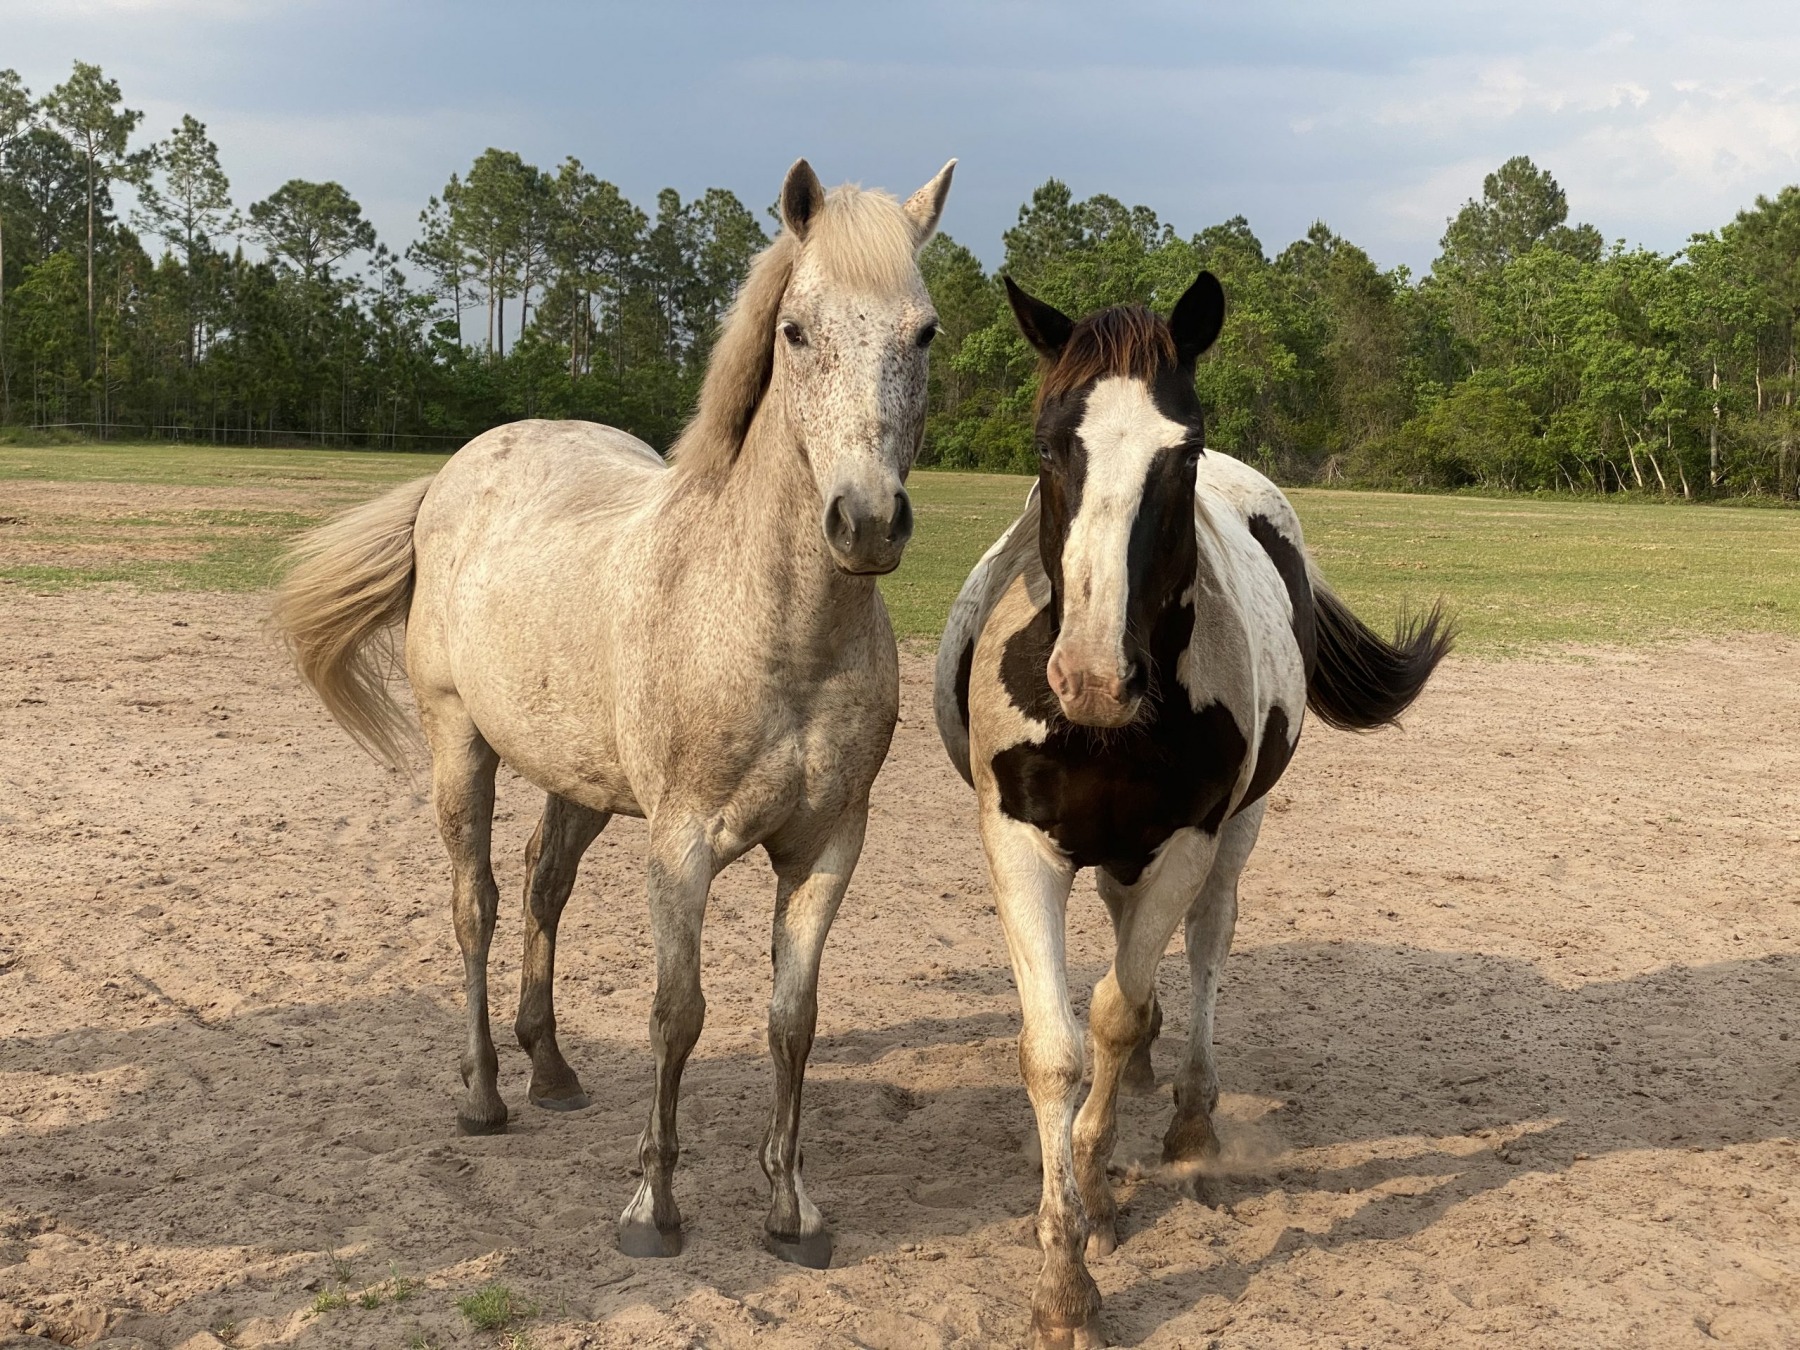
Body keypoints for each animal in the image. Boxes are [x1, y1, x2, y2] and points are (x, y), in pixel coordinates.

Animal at [273, 157, 955, 1270]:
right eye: (796, 330)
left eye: (925, 331)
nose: (866, 522)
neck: (776, 628)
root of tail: (461, 470)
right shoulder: (681, 845)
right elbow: (677, 1015)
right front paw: (652, 1207)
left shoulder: (827, 846)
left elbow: (792, 1020)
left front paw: (792, 1209)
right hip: (460, 747)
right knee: (478, 904)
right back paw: (486, 1095)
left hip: (578, 782)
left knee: (542, 891)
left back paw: (549, 1069)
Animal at [934, 272, 1450, 1348]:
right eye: (1048, 446)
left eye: (1184, 451)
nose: (1092, 676)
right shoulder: (1020, 843)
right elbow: (1056, 1050)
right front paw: (1064, 1276)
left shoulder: (1185, 841)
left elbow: (1117, 1010)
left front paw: (1098, 1193)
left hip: (1234, 833)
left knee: (1207, 945)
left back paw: (1187, 1117)